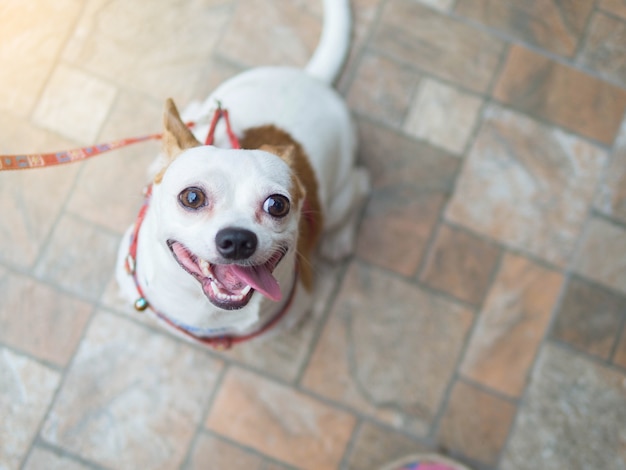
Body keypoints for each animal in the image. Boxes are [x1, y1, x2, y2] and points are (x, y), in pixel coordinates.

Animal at [114, 0, 366, 346]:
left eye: (277, 204)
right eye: (192, 197)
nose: (236, 240)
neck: (208, 313)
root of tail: (311, 78)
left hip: (341, 195)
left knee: (361, 185)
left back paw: (339, 238)